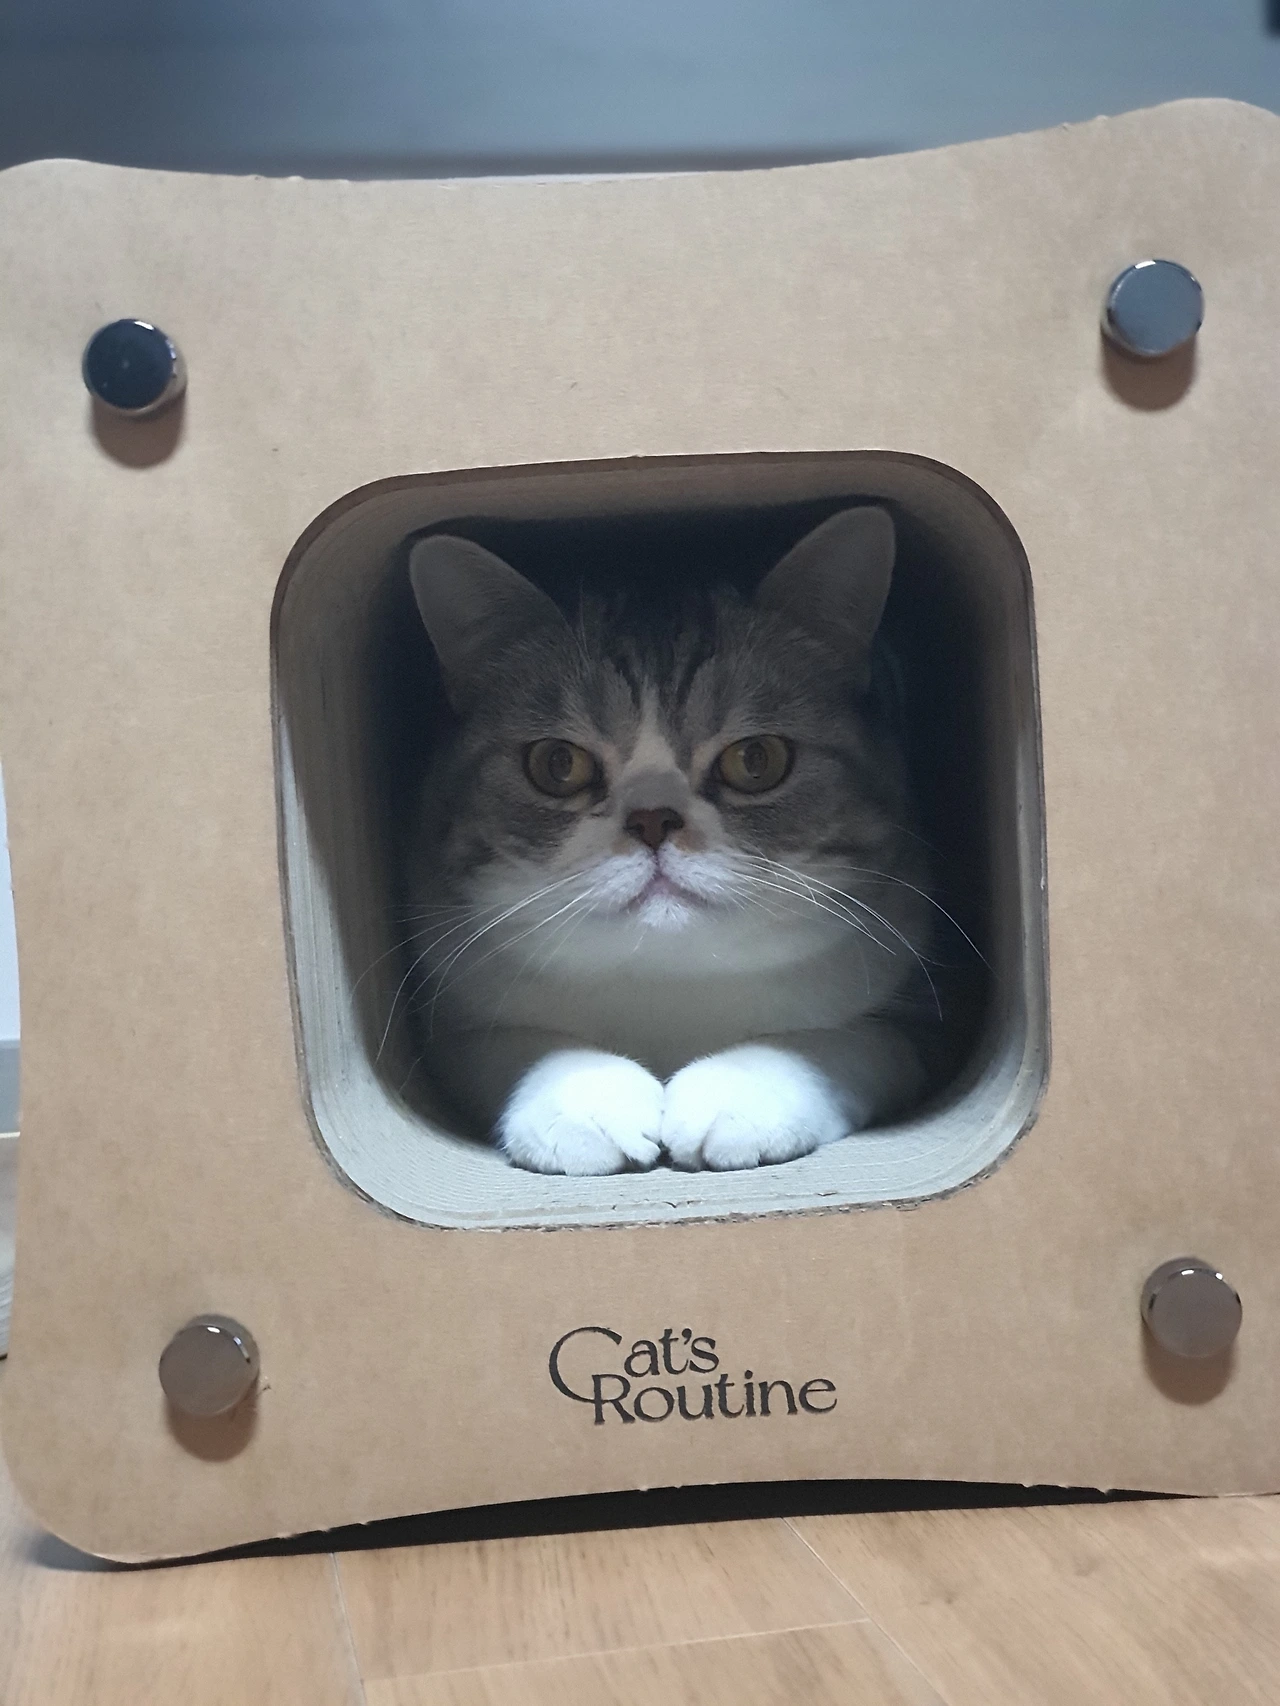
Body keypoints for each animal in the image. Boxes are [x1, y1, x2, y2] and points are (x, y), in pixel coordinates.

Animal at [403, 506, 932, 1176]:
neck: (668, 983)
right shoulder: (451, 1007)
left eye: (756, 759)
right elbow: (507, 1044)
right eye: (558, 764)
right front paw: (584, 1098)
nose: (653, 819)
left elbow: (845, 1041)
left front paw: (740, 1092)